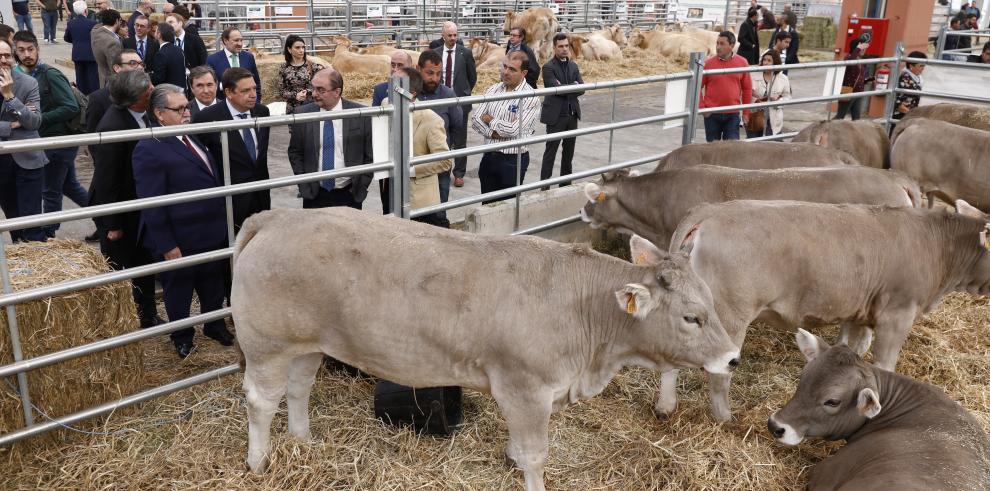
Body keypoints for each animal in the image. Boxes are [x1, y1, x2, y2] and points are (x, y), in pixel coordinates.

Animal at [234, 209, 744, 491]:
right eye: (691, 317)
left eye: (709, 301)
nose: (732, 358)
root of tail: (276, 217)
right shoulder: (528, 388)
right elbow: (536, 452)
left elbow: (519, 444)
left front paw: (511, 459)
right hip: (266, 346)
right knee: (261, 402)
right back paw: (258, 462)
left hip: (307, 344)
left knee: (298, 389)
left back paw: (303, 440)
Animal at [664, 200, 990, 422]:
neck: (939, 246)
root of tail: (711, 211)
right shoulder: (897, 313)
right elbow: (885, 365)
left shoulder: (859, 313)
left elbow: (851, 348)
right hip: (730, 316)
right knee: (719, 375)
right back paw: (726, 419)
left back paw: (665, 408)